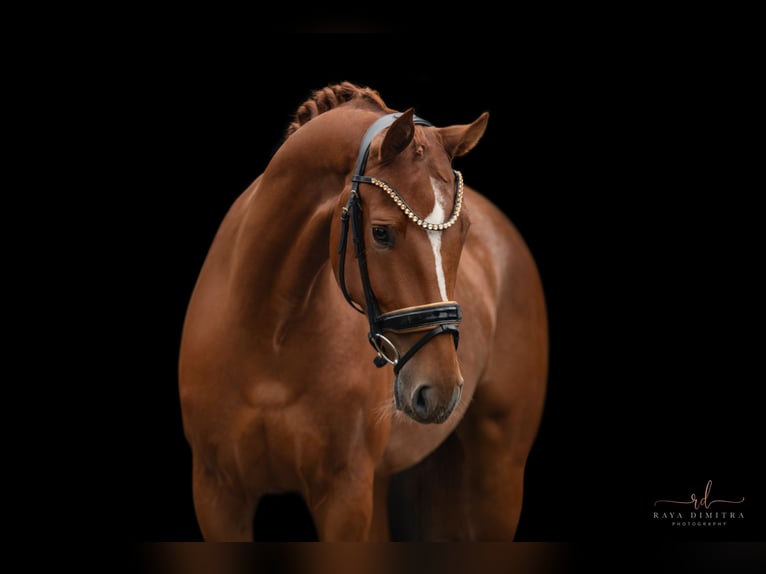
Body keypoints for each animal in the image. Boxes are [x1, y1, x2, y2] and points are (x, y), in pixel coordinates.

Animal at [178, 83, 552, 544]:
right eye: (381, 232)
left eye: (463, 231)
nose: (442, 389)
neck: (268, 337)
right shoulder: (218, 495)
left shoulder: (346, 494)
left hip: (498, 471)